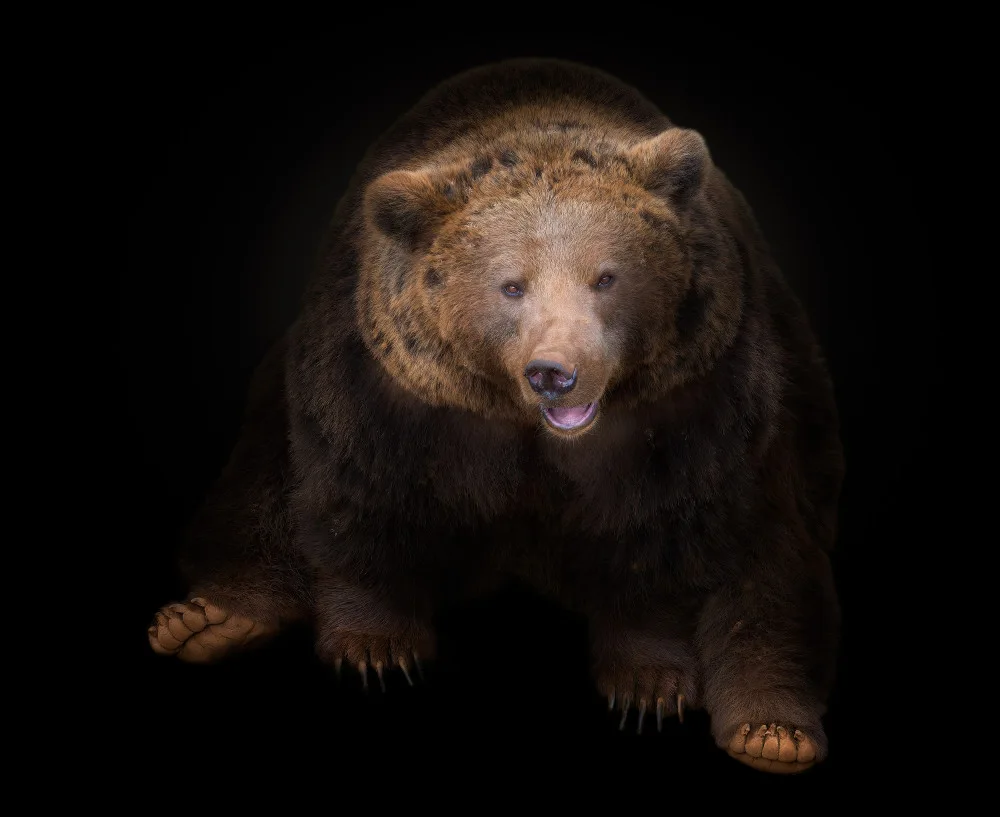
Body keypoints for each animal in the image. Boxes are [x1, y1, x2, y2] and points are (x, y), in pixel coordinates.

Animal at [148, 58, 843, 774]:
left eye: (606, 276)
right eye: (511, 285)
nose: (554, 372)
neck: (530, 431)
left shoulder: (694, 404)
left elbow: (666, 533)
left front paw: (647, 683)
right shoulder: (390, 387)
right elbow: (359, 492)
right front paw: (376, 648)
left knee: (771, 569)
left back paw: (771, 732)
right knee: (258, 477)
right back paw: (207, 619)